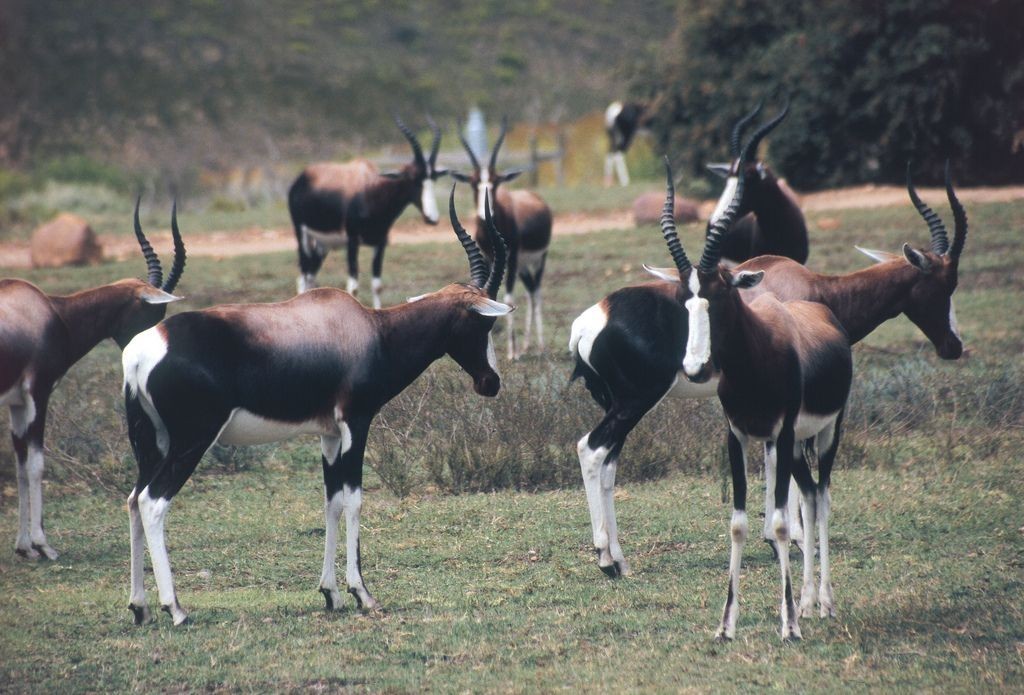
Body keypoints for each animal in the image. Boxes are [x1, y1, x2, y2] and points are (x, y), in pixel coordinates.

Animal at [2, 201, 185, 560]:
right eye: (154, 312)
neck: (51, 311)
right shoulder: (37, 395)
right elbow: (36, 465)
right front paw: (44, 545)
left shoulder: (16, 403)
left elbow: (20, 466)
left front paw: (24, 546)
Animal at [120, 185, 512, 626]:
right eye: (484, 321)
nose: (490, 382)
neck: (371, 329)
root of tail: (142, 351)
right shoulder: (356, 424)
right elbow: (355, 499)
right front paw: (363, 595)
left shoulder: (328, 435)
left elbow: (332, 502)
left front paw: (331, 594)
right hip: (192, 441)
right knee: (153, 502)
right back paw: (176, 608)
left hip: (152, 443)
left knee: (133, 499)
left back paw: (140, 607)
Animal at [288, 116, 448, 307]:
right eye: (413, 178)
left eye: (434, 178)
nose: (432, 218)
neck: (370, 190)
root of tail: (301, 179)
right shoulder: (352, 242)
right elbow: (353, 288)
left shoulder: (380, 243)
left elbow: (377, 286)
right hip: (302, 235)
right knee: (303, 276)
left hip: (322, 244)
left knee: (310, 277)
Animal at [452, 116, 552, 358]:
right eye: (473, 183)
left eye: (496, 182)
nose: (483, 213)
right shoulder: (489, 258)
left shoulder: (511, 258)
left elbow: (508, 298)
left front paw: (512, 353)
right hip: (523, 267)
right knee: (530, 291)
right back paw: (526, 345)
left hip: (537, 261)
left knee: (536, 292)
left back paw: (539, 346)